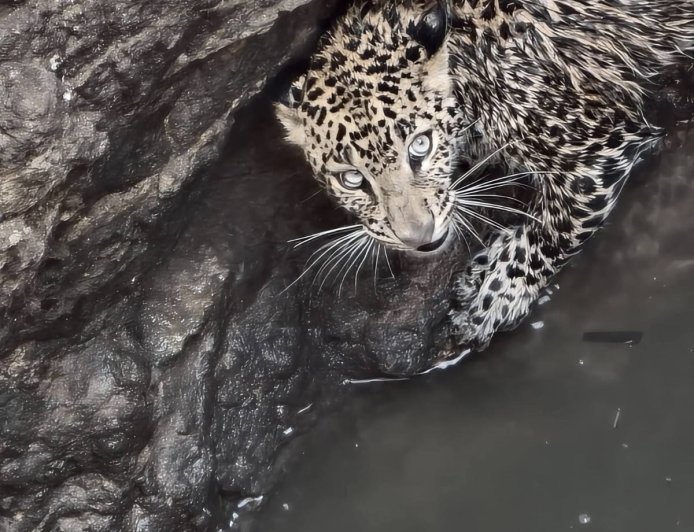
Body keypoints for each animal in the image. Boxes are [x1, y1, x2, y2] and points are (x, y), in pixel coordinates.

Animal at [275, 0, 694, 351]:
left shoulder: (595, 148)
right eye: (351, 179)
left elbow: (552, 229)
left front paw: (492, 298)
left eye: (421, 145)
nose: (418, 238)